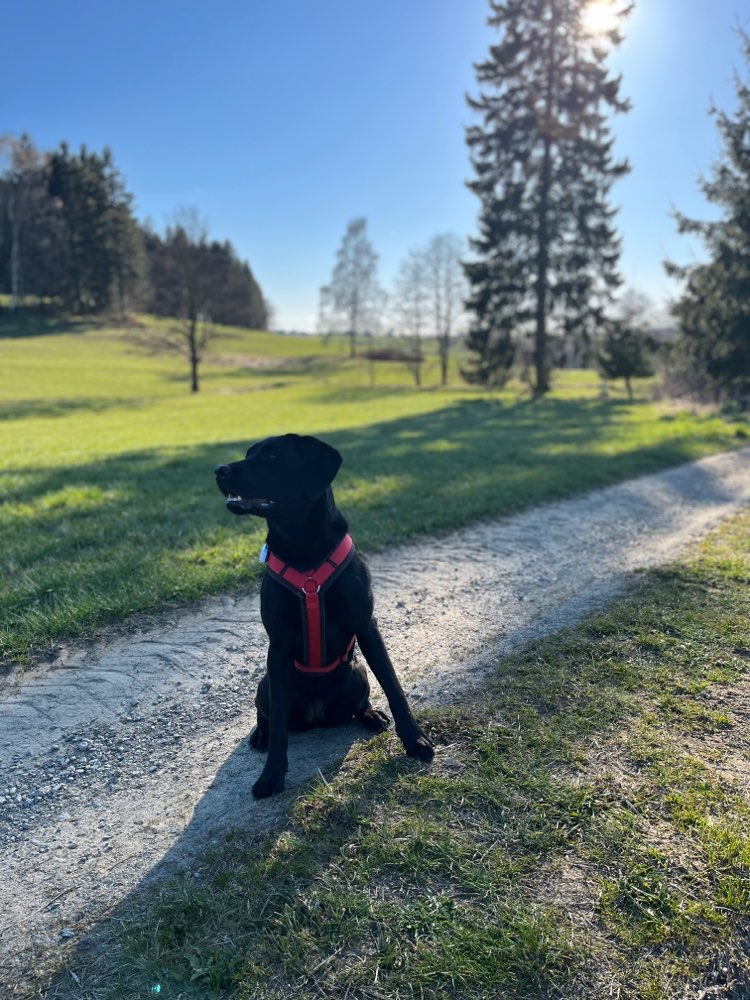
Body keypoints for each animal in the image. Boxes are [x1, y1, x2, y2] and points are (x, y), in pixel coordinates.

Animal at [214, 430, 434, 796]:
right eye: (249, 453)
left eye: (272, 457)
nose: (219, 470)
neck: (303, 546)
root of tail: (316, 716)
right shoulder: (278, 645)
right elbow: (279, 730)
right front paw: (271, 775)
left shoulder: (366, 626)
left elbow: (393, 686)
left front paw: (414, 741)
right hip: (267, 684)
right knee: (267, 717)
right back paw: (260, 734)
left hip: (357, 674)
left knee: (359, 705)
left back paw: (371, 716)